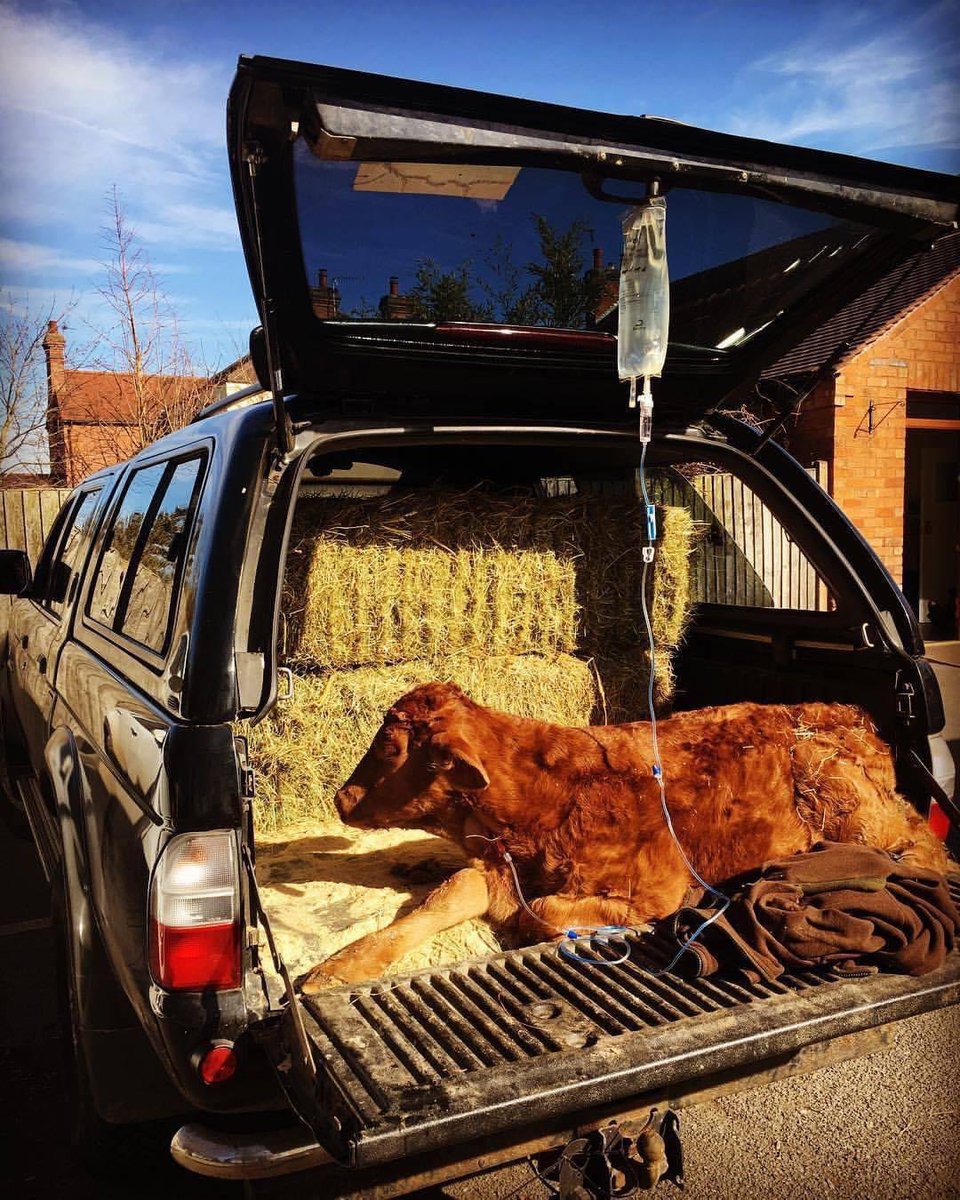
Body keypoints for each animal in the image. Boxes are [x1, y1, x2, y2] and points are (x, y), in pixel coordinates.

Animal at [303, 681, 950, 988]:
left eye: (390, 747)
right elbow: (441, 901)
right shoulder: (493, 869)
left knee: (926, 848)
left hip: (853, 806)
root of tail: (844, 712)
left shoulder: (650, 892)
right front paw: (341, 966)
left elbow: (539, 912)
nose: (340, 798)